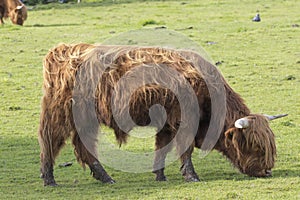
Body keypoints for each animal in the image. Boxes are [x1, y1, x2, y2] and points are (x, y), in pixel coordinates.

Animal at [38, 43, 288, 186]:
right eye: (254, 145)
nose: (267, 171)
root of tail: (62, 50)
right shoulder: (185, 122)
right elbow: (185, 150)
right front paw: (191, 176)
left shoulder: (167, 123)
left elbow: (162, 147)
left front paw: (160, 176)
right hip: (61, 112)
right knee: (50, 139)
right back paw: (49, 179)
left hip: (85, 119)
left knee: (84, 145)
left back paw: (105, 177)